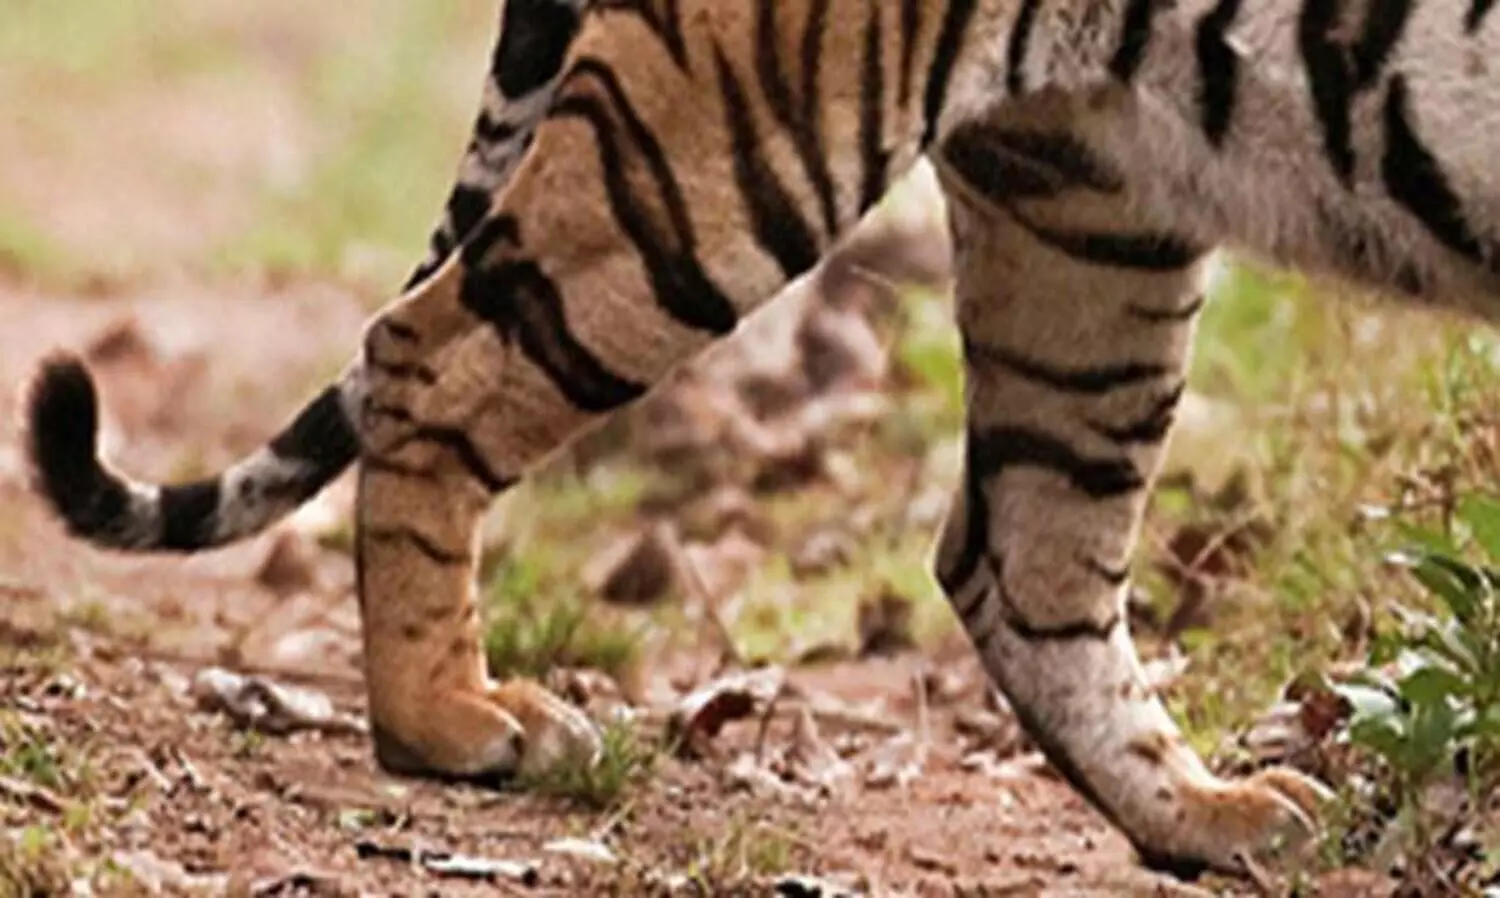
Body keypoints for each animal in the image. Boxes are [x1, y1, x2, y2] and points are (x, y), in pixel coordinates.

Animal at [21, 0, 1500, 879]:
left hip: (1092, 207)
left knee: (1018, 554)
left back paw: (1207, 816)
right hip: (730, 141)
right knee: (427, 353)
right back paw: (457, 722)